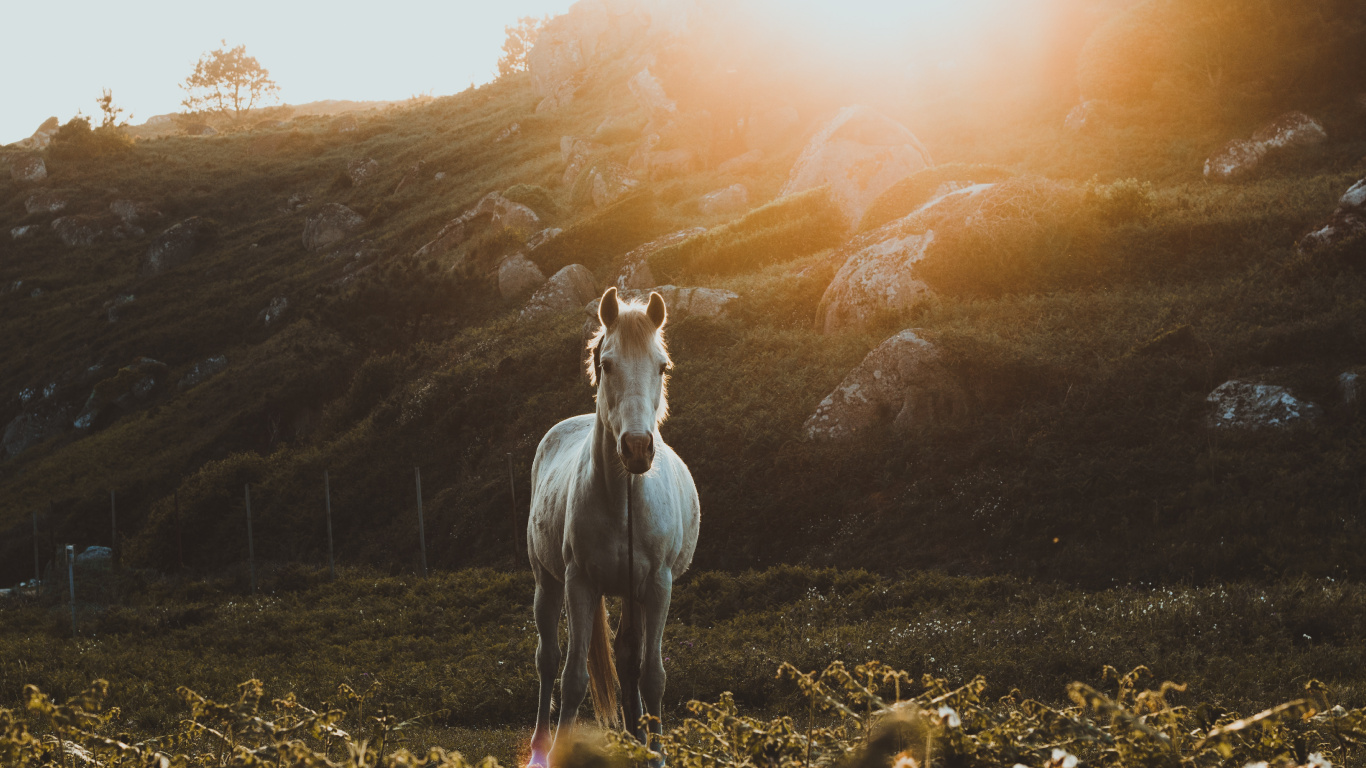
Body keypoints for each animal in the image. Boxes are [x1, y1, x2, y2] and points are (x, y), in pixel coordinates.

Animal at [524, 288, 704, 765]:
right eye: (606, 365)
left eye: (662, 366)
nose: (638, 448)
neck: (624, 500)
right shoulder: (580, 584)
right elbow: (573, 678)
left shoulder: (657, 586)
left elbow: (651, 675)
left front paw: (656, 754)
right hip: (547, 583)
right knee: (548, 659)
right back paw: (539, 748)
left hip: (631, 593)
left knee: (627, 660)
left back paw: (635, 740)